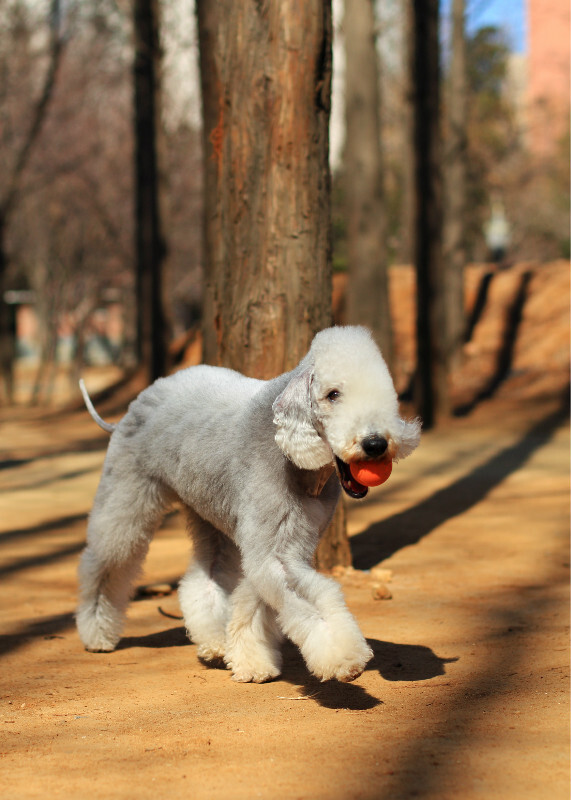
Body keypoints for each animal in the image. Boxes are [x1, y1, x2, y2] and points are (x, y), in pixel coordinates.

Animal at [76, 328, 420, 684]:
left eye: (386, 393)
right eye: (333, 394)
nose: (375, 444)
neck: (296, 460)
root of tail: (134, 406)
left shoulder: (277, 544)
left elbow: (254, 596)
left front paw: (251, 660)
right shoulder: (272, 546)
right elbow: (310, 601)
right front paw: (343, 656)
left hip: (210, 512)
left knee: (205, 574)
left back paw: (215, 642)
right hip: (126, 496)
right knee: (104, 561)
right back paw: (97, 634)